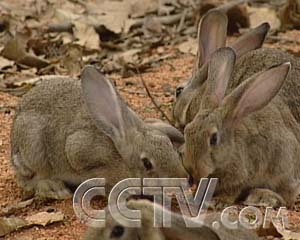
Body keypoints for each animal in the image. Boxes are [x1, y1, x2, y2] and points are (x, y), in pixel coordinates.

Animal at [11, 65, 188, 199]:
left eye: (169, 145)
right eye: (147, 163)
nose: (184, 179)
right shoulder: (81, 153)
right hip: (33, 148)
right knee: (30, 180)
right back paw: (56, 189)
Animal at [182, 45, 300, 208]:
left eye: (213, 139)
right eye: (186, 131)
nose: (192, 170)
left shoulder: (240, 175)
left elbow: (232, 190)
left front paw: (217, 201)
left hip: (283, 168)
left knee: (286, 198)